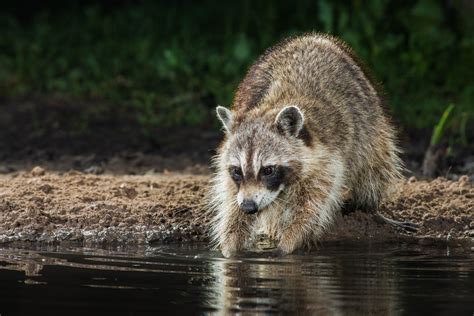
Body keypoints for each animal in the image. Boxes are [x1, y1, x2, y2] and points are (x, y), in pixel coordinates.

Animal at [209, 33, 406, 258]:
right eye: (237, 171)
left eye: (268, 170)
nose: (249, 207)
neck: (274, 104)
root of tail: (314, 37)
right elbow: (231, 203)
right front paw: (230, 245)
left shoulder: (326, 161)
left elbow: (312, 207)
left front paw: (289, 241)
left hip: (371, 127)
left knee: (374, 169)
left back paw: (367, 206)